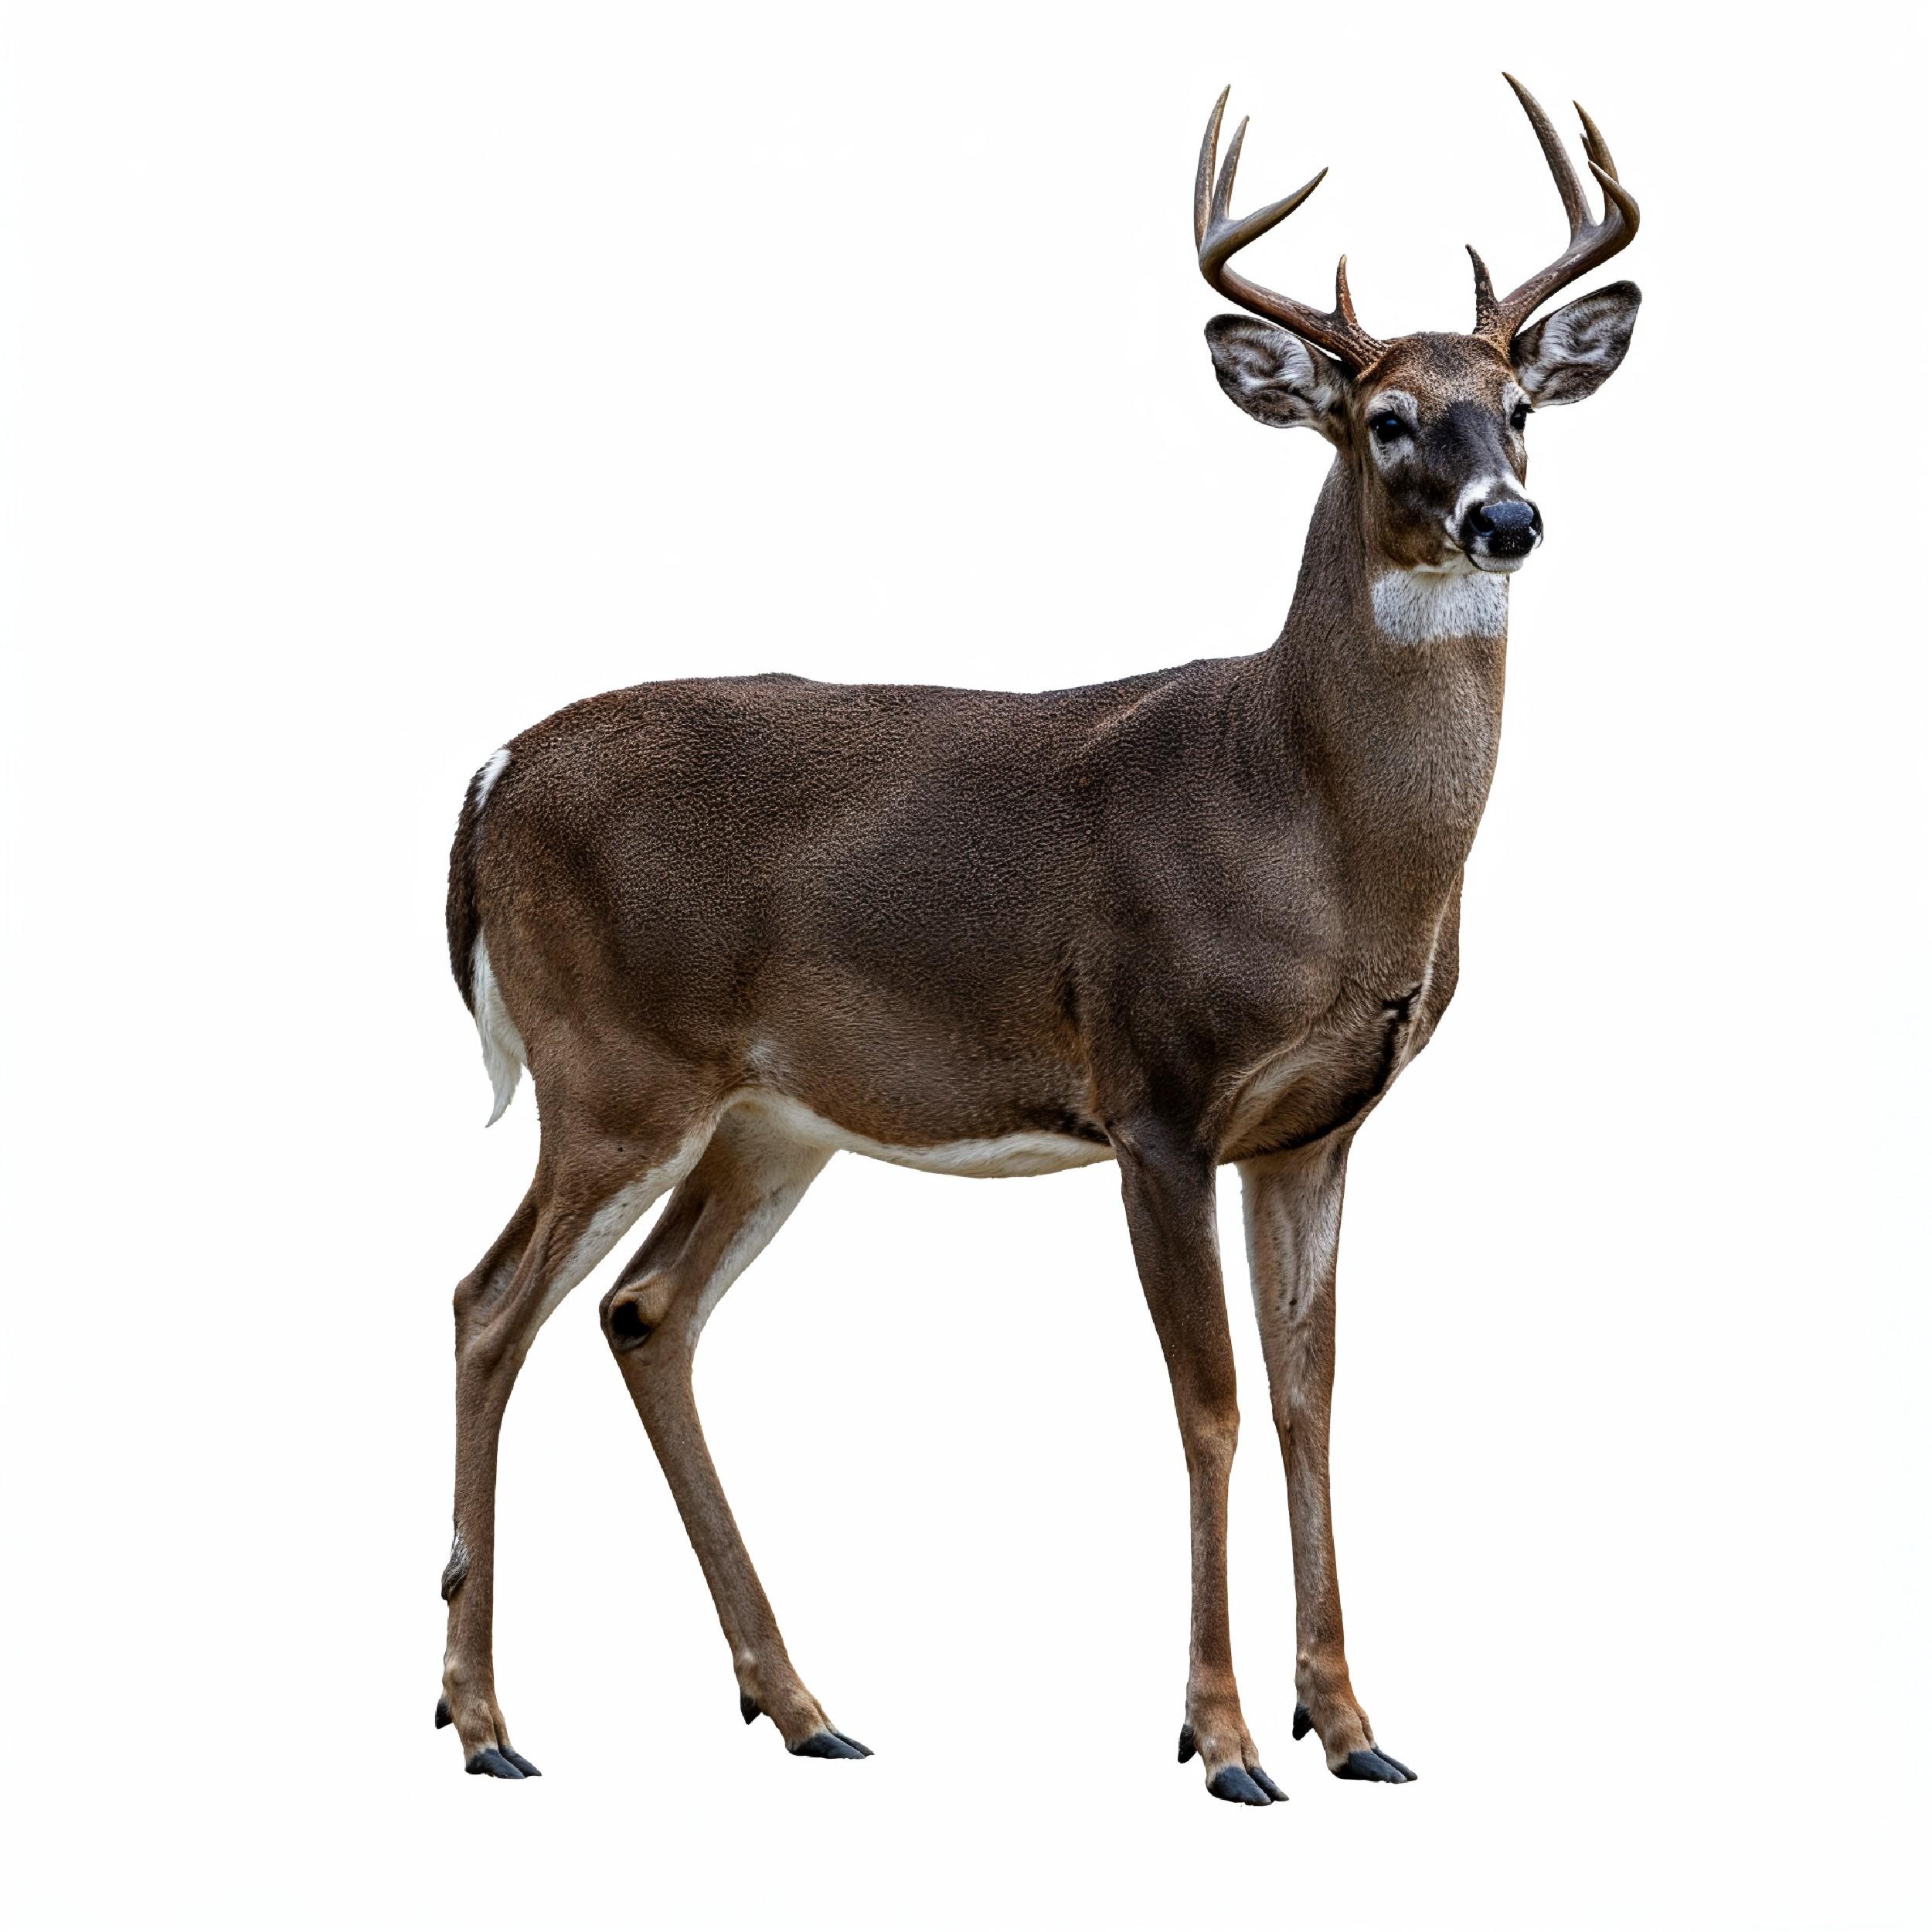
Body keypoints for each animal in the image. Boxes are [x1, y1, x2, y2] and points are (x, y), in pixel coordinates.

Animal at [433, 73, 1641, 1803]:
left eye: (1522, 404)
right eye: (1386, 418)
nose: (1507, 518)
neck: (1319, 832)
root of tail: (490, 773)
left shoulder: (1316, 1128)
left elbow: (1307, 1402)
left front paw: (1351, 1726)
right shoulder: (1154, 1093)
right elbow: (1207, 1405)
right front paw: (1220, 1739)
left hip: (770, 1116)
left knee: (641, 1313)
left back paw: (800, 1702)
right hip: (609, 1069)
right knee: (487, 1304)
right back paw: (482, 1720)